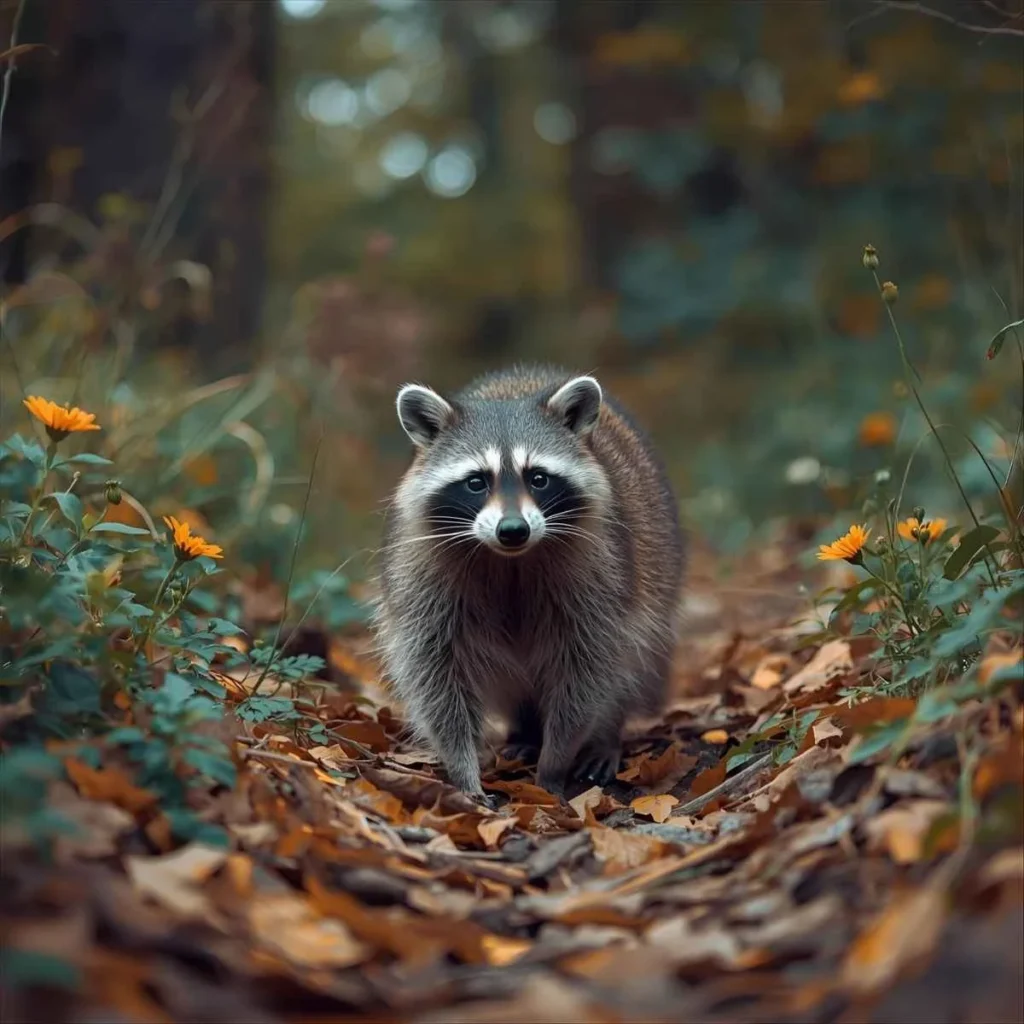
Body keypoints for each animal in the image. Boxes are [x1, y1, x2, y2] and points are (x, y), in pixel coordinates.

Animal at [374, 365, 685, 798]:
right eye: (476, 481)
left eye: (538, 478)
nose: (513, 530)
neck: (510, 560)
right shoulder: (423, 571)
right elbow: (434, 671)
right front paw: (463, 769)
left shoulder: (600, 569)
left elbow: (588, 666)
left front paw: (554, 762)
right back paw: (525, 731)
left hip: (656, 568)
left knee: (632, 659)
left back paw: (605, 736)